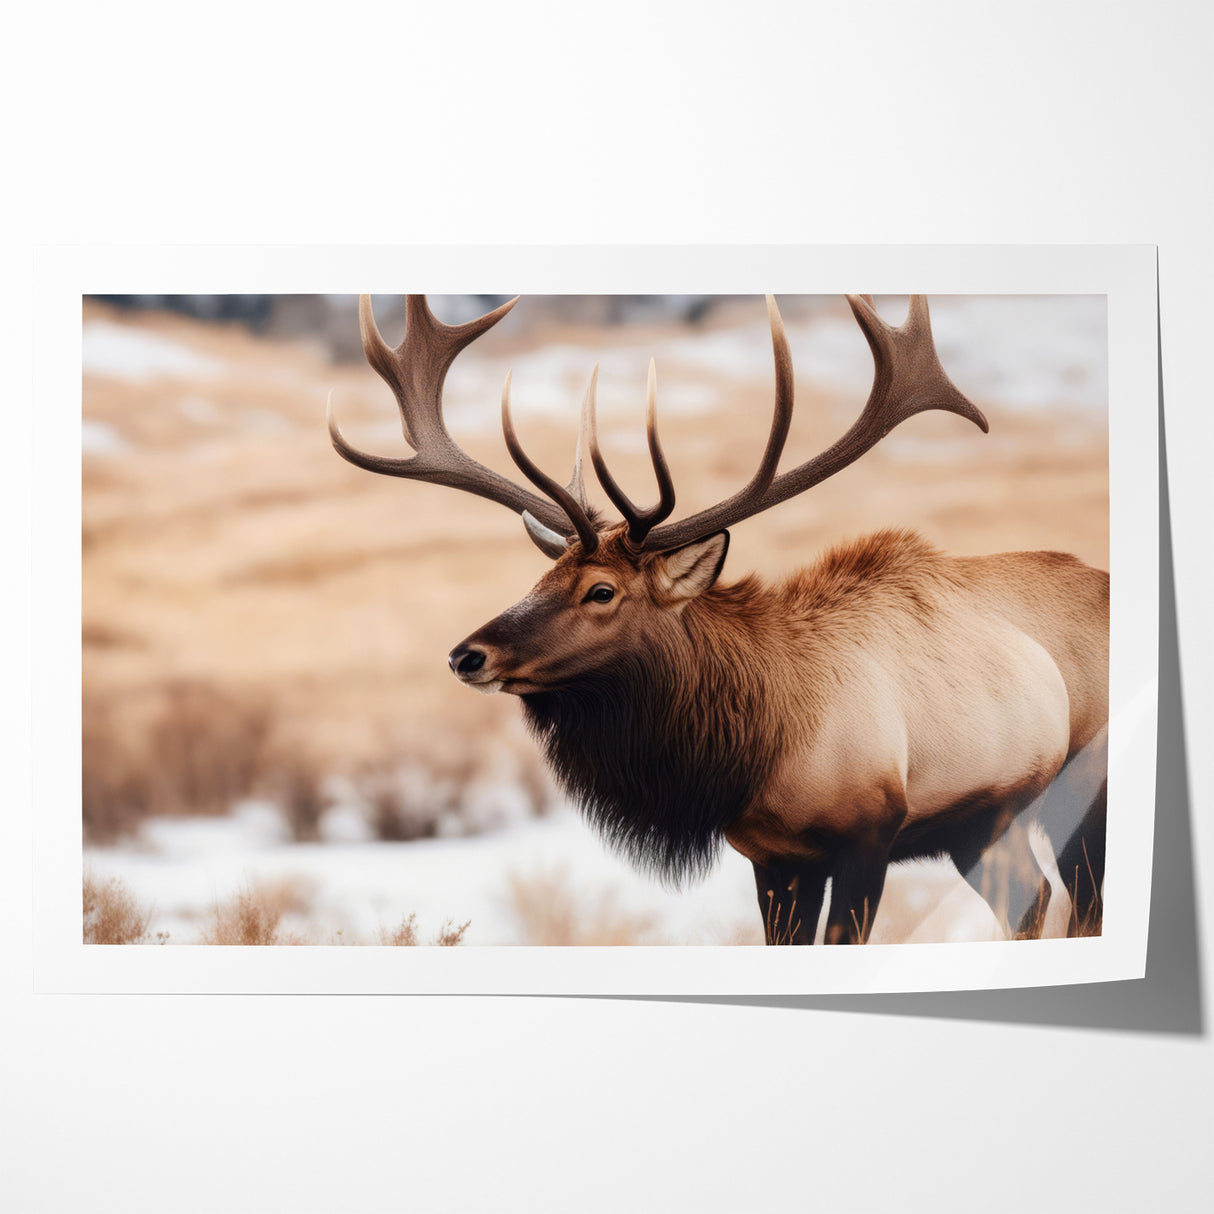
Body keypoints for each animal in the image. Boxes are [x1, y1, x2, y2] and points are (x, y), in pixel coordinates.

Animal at [329, 293, 1109, 945]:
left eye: (601, 591)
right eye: (540, 577)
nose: (468, 654)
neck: (760, 748)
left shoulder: (871, 832)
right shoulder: (774, 856)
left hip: (1075, 789)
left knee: (1079, 899)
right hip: (989, 824)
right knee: (1039, 901)